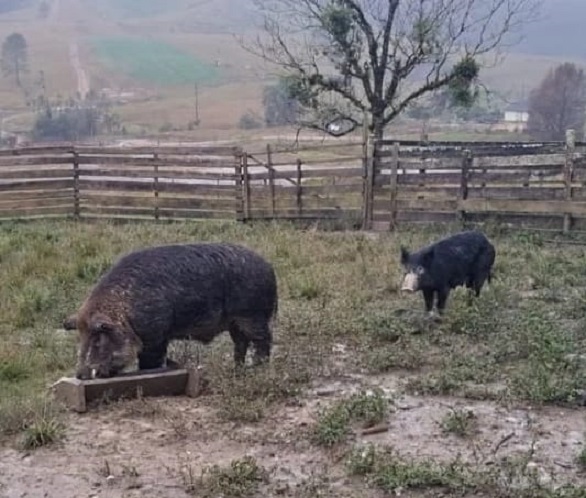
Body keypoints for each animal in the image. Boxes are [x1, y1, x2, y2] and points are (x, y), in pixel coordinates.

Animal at [62, 243, 278, 380]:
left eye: (98, 337)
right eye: (80, 336)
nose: (80, 375)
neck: (125, 313)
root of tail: (269, 268)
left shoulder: (155, 334)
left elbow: (150, 361)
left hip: (252, 315)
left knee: (263, 339)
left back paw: (257, 368)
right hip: (235, 322)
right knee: (241, 342)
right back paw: (236, 368)